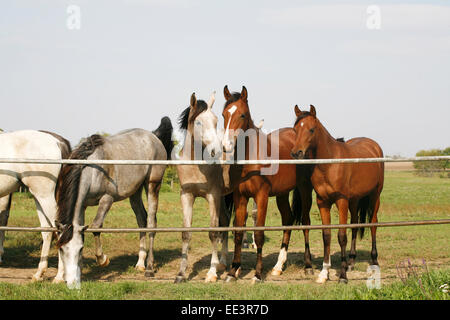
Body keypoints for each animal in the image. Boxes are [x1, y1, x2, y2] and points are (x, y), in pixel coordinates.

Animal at [0, 129, 71, 282]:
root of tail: (57, 141)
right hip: (39, 198)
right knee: (47, 231)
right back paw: (39, 273)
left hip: (45, 196)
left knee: (59, 229)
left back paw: (59, 276)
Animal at [55, 118, 174, 290]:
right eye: (62, 250)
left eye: (80, 249)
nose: (69, 281)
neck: (92, 169)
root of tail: (153, 136)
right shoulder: (82, 205)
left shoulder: (107, 199)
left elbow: (96, 226)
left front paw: (102, 259)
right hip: (135, 192)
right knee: (142, 220)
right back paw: (140, 263)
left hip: (152, 185)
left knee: (151, 223)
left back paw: (150, 268)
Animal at [221, 86, 312, 284]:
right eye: (224, 114)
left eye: (242, 115)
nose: (226, 145)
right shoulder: (240, 198)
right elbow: (238, 232)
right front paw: (232, 272)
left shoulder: (261, 196)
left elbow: (259, 234)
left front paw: (257, 274)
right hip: (282, 194)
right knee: (288, 220)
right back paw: (278, 266)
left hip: (304, 190)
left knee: (306, 222)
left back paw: (308, 267)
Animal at [290, 104, 384, 282]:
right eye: (295, 129)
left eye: (311, 129)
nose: (296, 153)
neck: (329, 164)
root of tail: (374, 145)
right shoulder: (323, 202)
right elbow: (326, 235)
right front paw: (324, 273)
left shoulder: (341, 201)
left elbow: (341, 236)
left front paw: (342, 275)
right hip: (354, 200)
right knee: (354, 224)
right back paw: (352, 262)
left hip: (375, 195)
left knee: (373, 223)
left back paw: (375, 261)